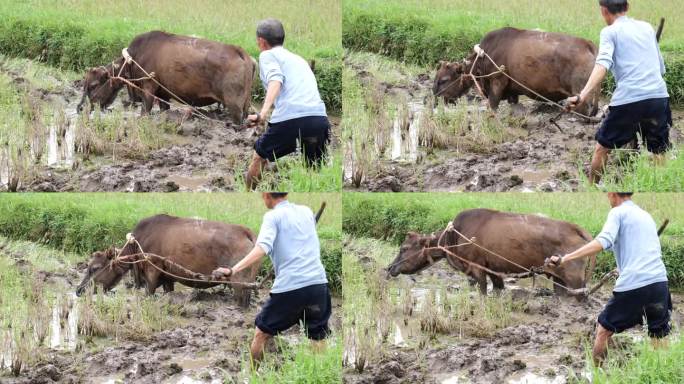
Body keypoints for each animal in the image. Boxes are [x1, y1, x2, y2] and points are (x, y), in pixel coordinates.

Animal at [75, 30, 256, 123]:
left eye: (93, 85)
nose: (80, 108)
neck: (133, 59)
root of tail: (240, 52)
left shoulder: (148, 88)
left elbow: (145, 110)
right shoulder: (163, 95)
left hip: (235, 106)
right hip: (245, 105)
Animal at [75, 214, 262, 308]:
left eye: (94, 268)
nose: (79, 290)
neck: (137, 245)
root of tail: (246, 232)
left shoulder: (152, 273)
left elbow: (149, 293)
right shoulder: (167, 278)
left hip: (240, 285)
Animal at [388, 208, 596, 296]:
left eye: (404, 248)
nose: (389, 268)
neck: (452, 238)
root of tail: (577, 228)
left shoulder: (477, 268)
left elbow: (482, 292)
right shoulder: (494, 270)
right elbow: (497, 289)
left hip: (574, 278)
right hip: (559, 279)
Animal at [432, 28, 600, 116]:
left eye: (444, 80)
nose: (434, 99)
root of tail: (587, 44)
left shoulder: (497, 82)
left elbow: (492, 105)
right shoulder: (512, 93)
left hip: (580, 96)